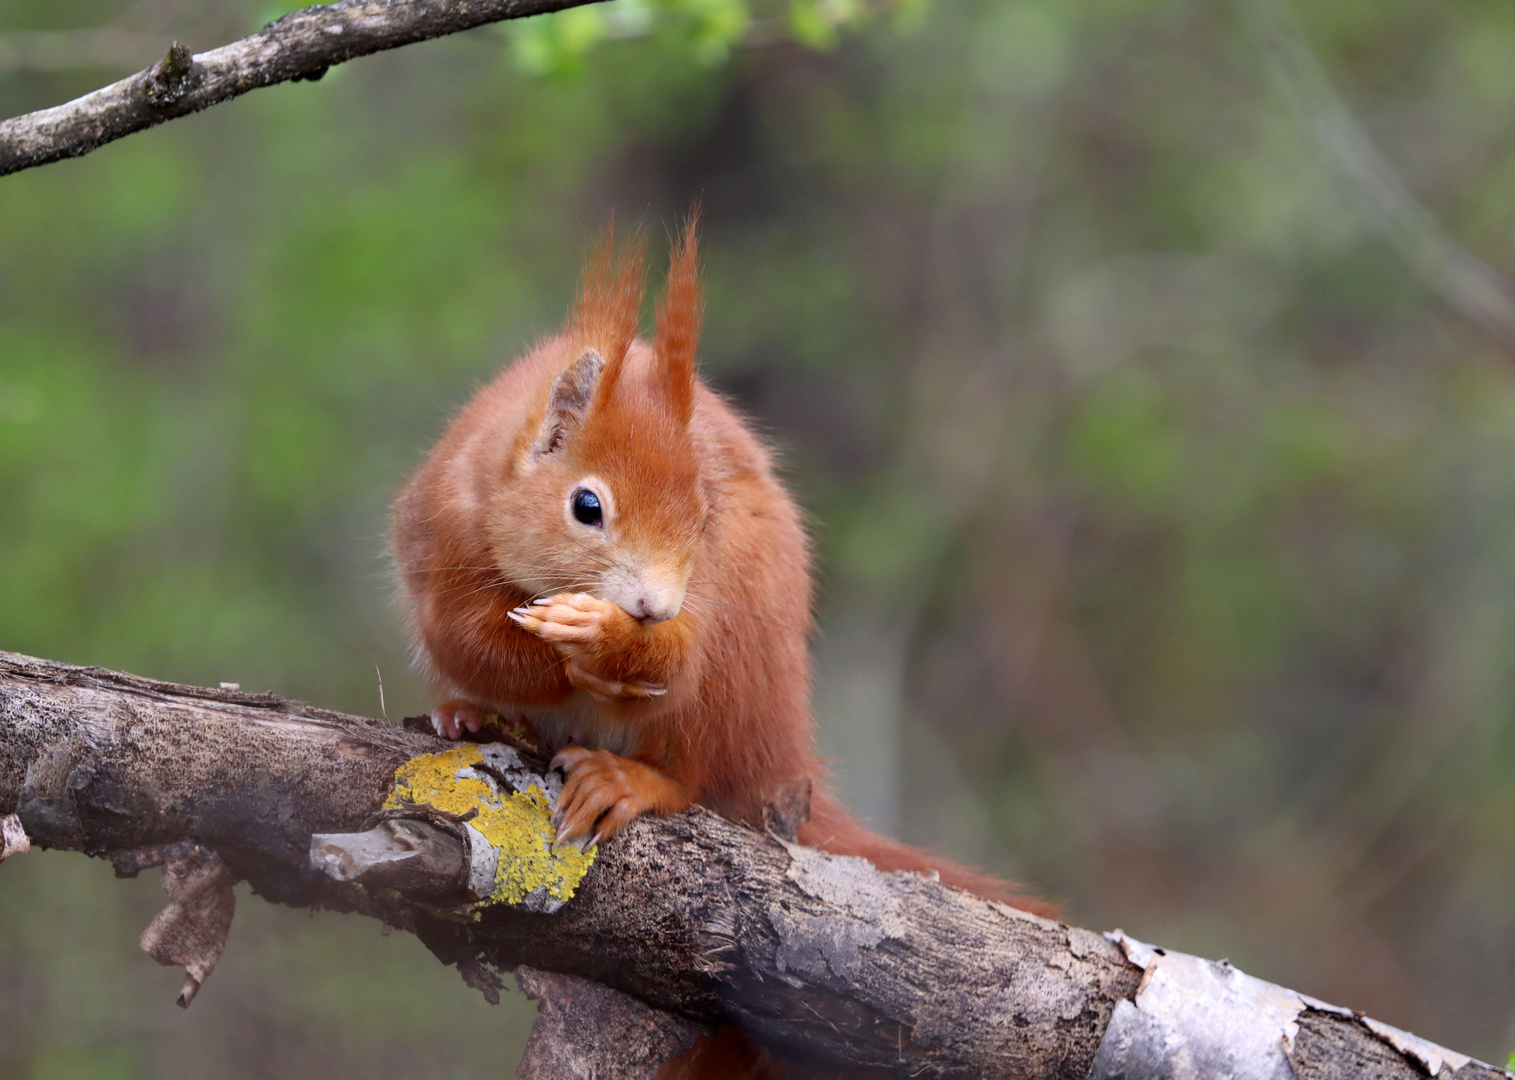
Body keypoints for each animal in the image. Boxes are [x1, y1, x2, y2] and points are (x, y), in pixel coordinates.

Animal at [393, 219, 1054, 908]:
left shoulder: (702, 598)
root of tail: (783, 756)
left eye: (704, 512)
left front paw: (601, 639)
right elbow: (467, 641)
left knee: (694, 777)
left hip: (731, 682)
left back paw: (623, 781)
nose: (652, 606)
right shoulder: (449, 541)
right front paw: (549, 659)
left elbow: (676, 663)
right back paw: (473, 714)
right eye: (585, 505)